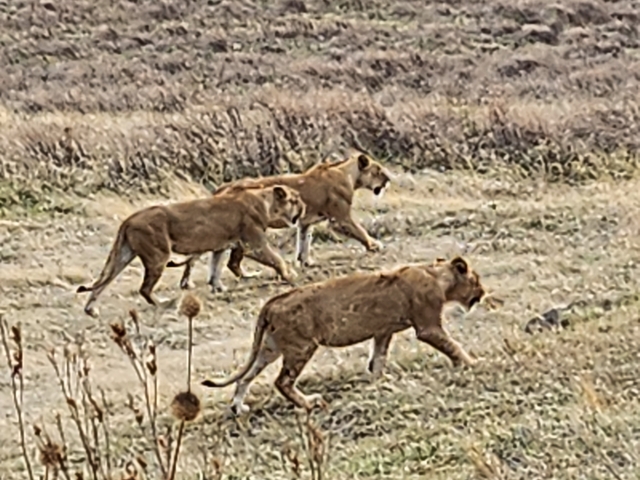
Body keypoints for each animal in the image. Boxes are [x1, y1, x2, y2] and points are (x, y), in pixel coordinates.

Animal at [76, 185, 306, 317]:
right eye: (295, 200)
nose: (303, 206)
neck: (265, 201)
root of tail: (128, 219)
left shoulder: (221, 246)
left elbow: (215, 268)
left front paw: (218, 288)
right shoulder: (253, 243)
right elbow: (276, 259)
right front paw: (291, 276)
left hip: (123, 255)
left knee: (101, 283)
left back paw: (90, 309)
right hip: (158, 256)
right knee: (144, 289)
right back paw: (164, 304)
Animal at [169, 151, 392, 292]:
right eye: (378, 170)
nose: (389, 179)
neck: (348, 174)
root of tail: (222, 188)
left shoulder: (304, 222)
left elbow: (304, 242)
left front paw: (306, 262)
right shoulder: (340, 218)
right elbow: (360, 230)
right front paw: (375, 246)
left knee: (209, 259)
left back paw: (190, 283)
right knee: (226, 260)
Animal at [201, 255, 488, 415]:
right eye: (476, 279)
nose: (483, 292)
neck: (437, 276)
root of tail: (272, 301)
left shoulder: (383, 331)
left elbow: (378, 359)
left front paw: (378, 382)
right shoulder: (428, 326)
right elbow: (452, 345)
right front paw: (473, 364)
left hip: (270, 348)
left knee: (245, 376)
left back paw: (238, 408)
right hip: (302, 347)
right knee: (282, 382)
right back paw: (310, 404)